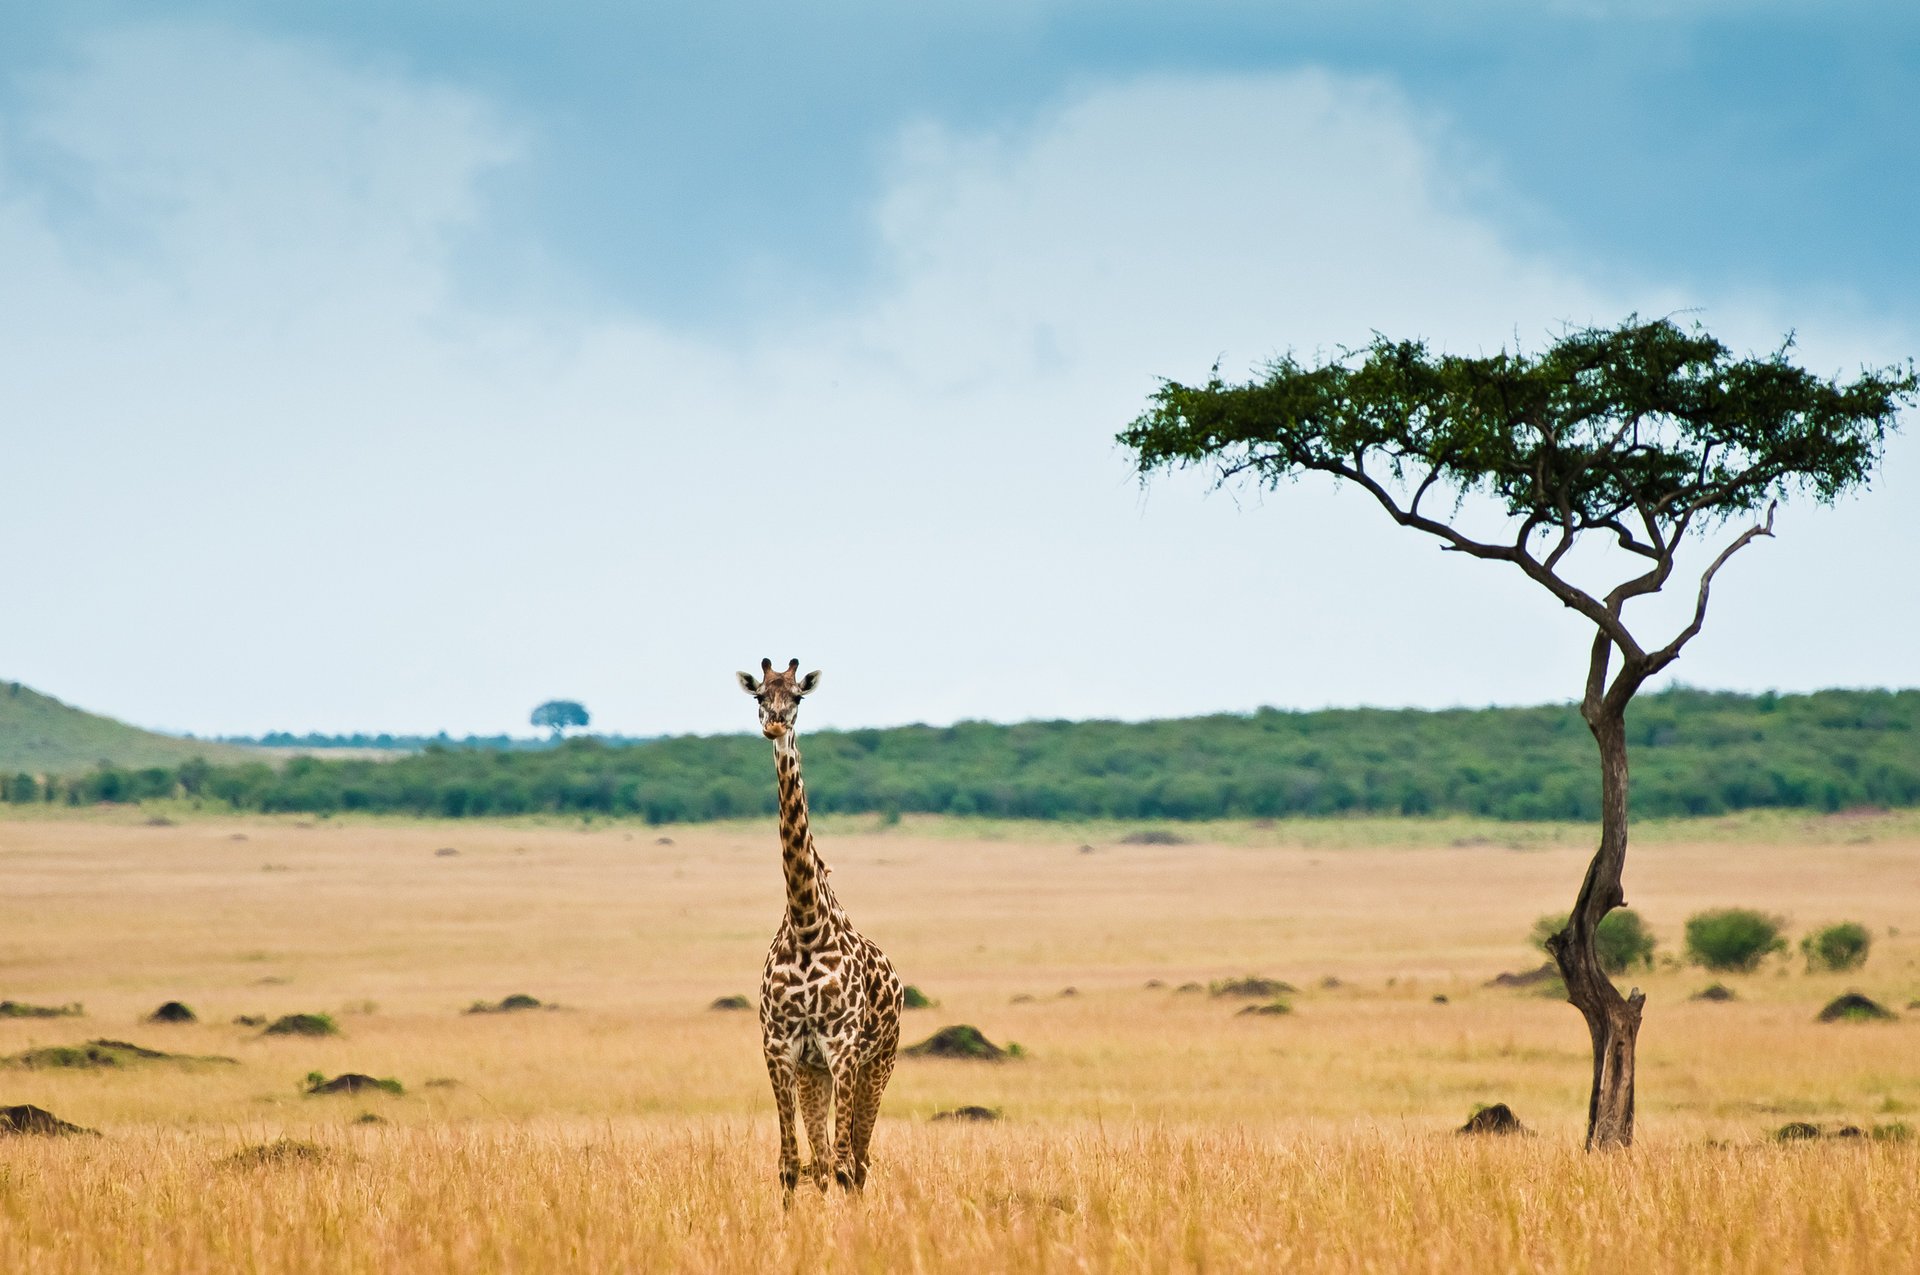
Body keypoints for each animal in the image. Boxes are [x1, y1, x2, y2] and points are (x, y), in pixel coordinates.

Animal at [737, 656, 910, 1198]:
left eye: (797, 696)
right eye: (759, 696)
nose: (775, 724)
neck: (807, 924)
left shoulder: (843, 1047)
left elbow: (843, 1163)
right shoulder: (780, 1047)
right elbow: (792, 1164)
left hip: (879, 1062)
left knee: (859, 1160)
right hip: (815, 1073)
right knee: (822, 1161)